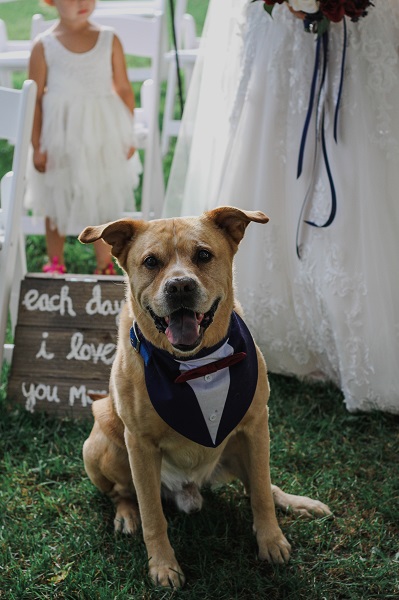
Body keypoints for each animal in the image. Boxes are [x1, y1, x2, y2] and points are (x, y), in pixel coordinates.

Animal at [79, 206, 332, 584]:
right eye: (150, 261)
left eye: (203, 255)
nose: (180, 286)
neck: (197, 365)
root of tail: (189, 490)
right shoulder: (139, 444)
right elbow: (152, 513)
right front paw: (162, 565)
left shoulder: (256, 426)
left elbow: (261, 491)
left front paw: (271, 540)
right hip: (101, 443)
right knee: (124, 493)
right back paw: (126, 515)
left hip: (238, 448)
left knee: (260, 486)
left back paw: (298, 503)